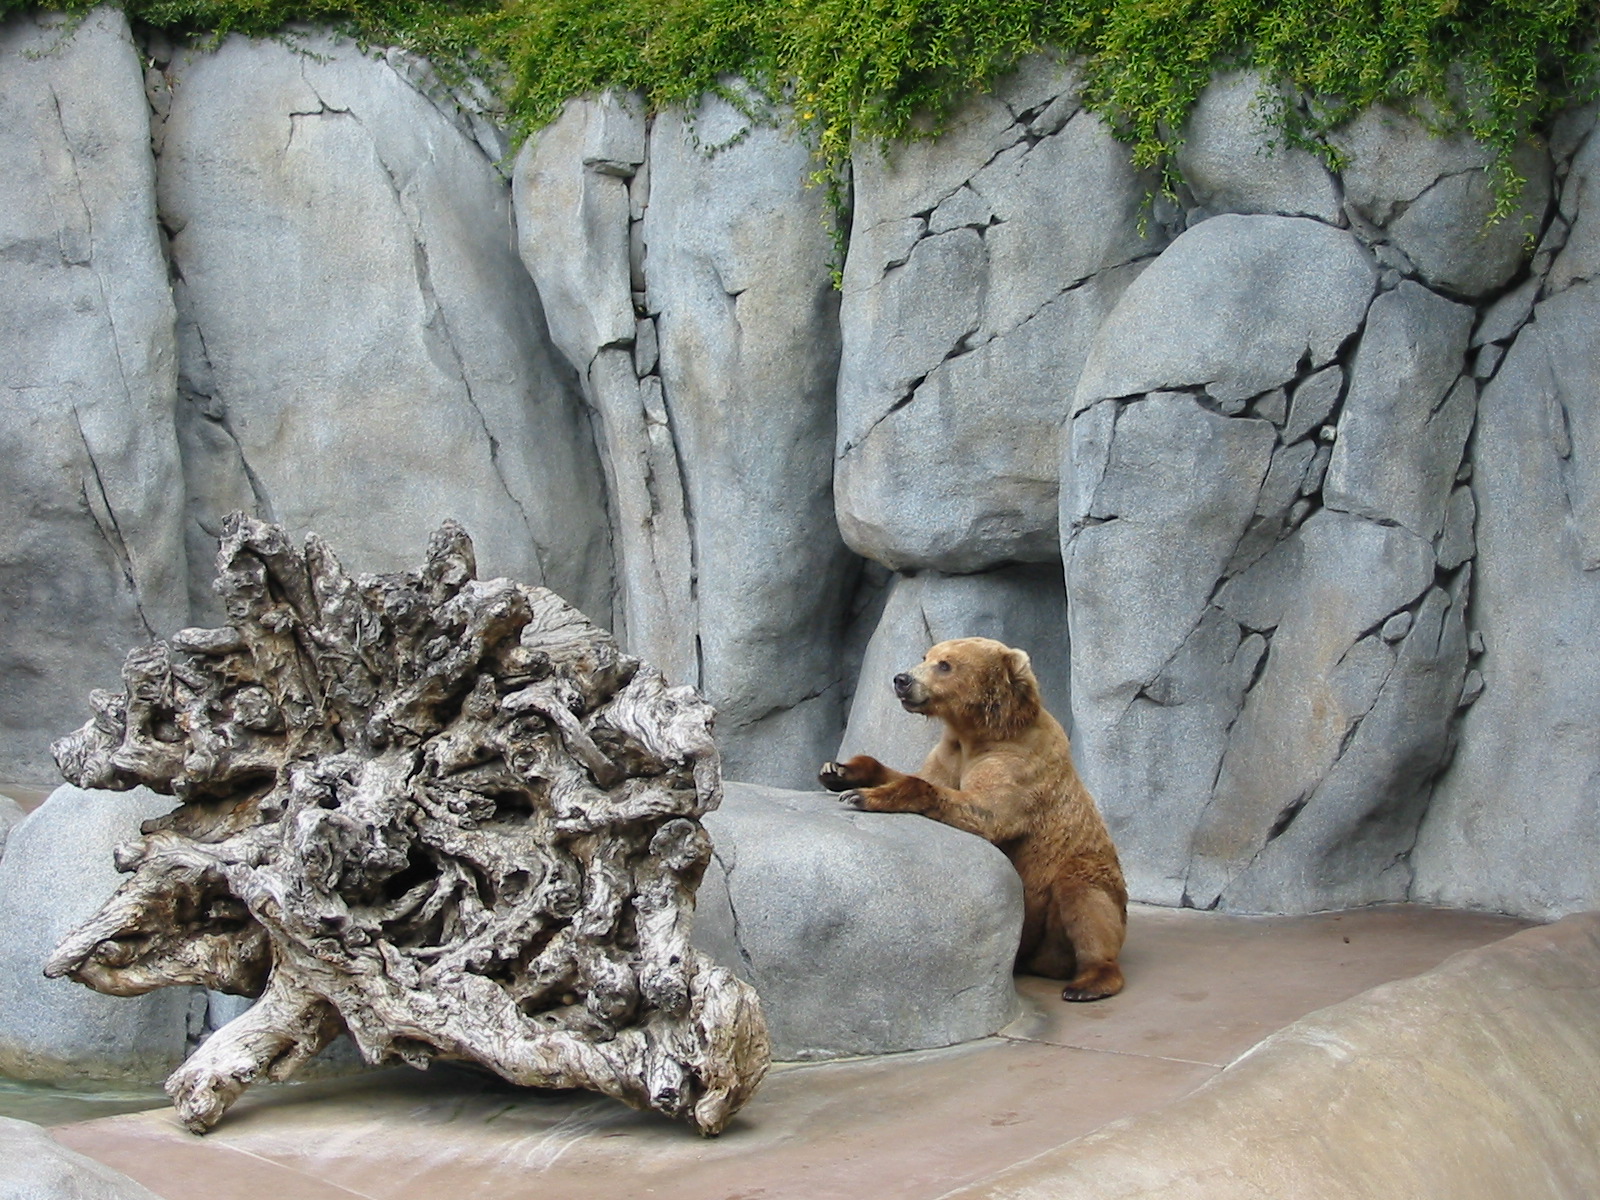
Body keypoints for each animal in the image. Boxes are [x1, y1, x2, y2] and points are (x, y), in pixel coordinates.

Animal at [819, 636, 1127, 1001]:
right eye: (926, 656)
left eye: (945, 664)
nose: (902, 679)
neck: (979, 733)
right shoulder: (949, 755)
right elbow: (920, 774)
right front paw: (839, 771)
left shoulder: (1018, 763)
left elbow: (986, 811)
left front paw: (864, 797)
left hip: (1084, 874)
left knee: (1085, 900)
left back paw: (1088, 982)